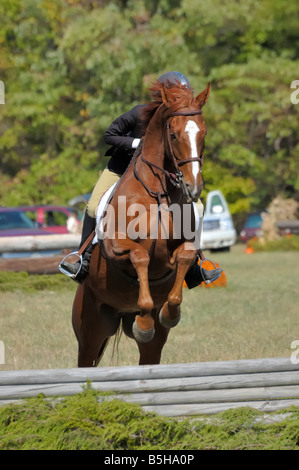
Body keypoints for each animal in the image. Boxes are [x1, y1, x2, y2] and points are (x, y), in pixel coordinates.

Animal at [72, 81, 211, 368]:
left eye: (203, 133)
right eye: (173, 135)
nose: (193, 188)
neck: (158, 191)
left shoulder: (184, 246)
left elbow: (184, 257)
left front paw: (168, 313)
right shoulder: (115, 245)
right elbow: (140, 256)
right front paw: (145, 322)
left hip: (149, 344)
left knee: (149, 354)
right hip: (90, 328)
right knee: (85, 358)